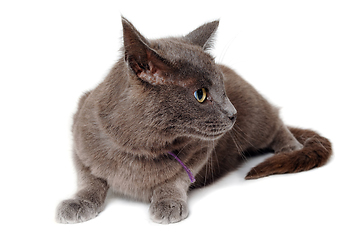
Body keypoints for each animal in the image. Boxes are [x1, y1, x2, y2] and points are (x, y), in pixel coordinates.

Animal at [56, 17, 332, 224]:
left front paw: (168, 202)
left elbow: (176, 177)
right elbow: (88, 178)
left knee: (277, 122)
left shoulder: (202, 149)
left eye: (223, 89)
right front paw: (77, 202)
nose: (233, 113)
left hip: (258, 116)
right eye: (200, 95)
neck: (140, 148)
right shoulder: (80, 137)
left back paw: (290, 147)